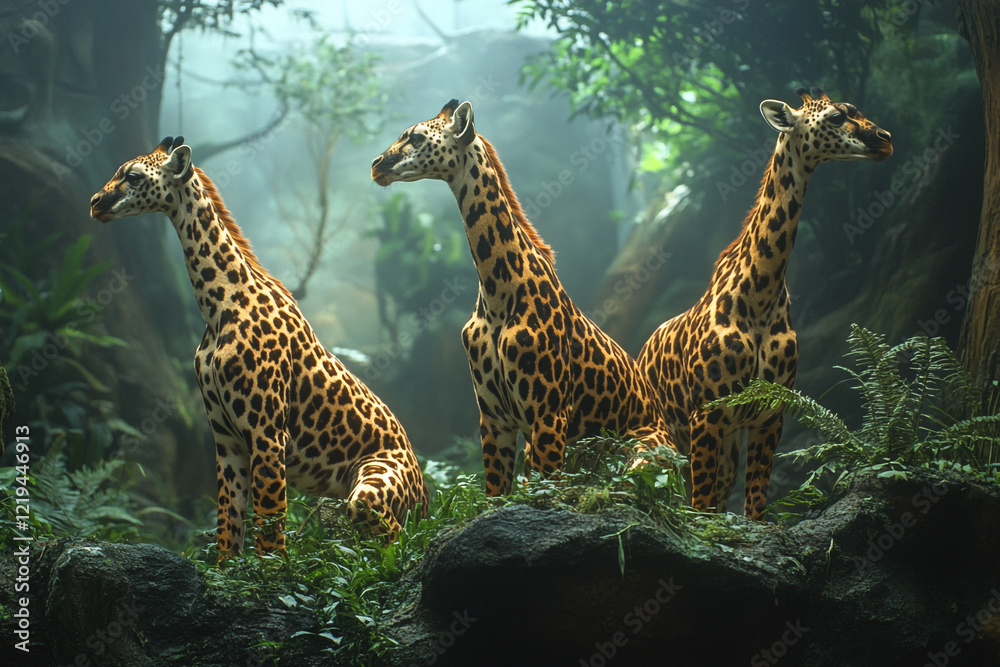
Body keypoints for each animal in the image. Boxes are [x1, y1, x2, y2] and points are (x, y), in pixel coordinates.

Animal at [90, 137, 428, 555]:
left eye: (133, 176)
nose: (95, 202)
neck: (216, 306)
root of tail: (425, 491)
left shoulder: (266, 434)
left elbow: (269, 533)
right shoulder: (226, 440)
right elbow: (228, 530)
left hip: (371, 492)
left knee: (400, 544)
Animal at [371, 100, 677, 495]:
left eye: (416, 137)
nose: (377, 163)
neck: (496, 293)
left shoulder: (548, 415)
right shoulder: (494, 419)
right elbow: (495, 495)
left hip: (643, 455)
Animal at [638, 88, 892, 518]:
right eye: (837, 116)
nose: (885, 138)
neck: (760, 295)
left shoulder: (768, 413)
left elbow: (755, 502)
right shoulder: (707, 412)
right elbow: (703, 506)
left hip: (720, 442)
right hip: (665, 432)